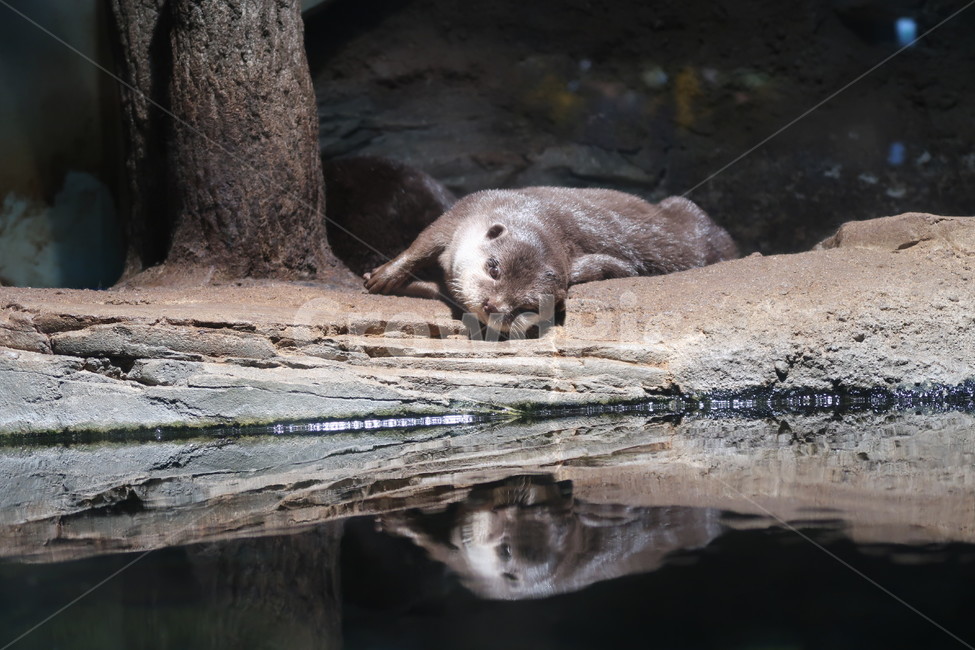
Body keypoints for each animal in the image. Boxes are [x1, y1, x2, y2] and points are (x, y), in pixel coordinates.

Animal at [364, 187, 738, 335]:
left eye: (527, 306)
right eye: (493, 267)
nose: (493, 305)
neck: (546, 218)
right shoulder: (466, 210)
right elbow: (422, 242)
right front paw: (383, 277)